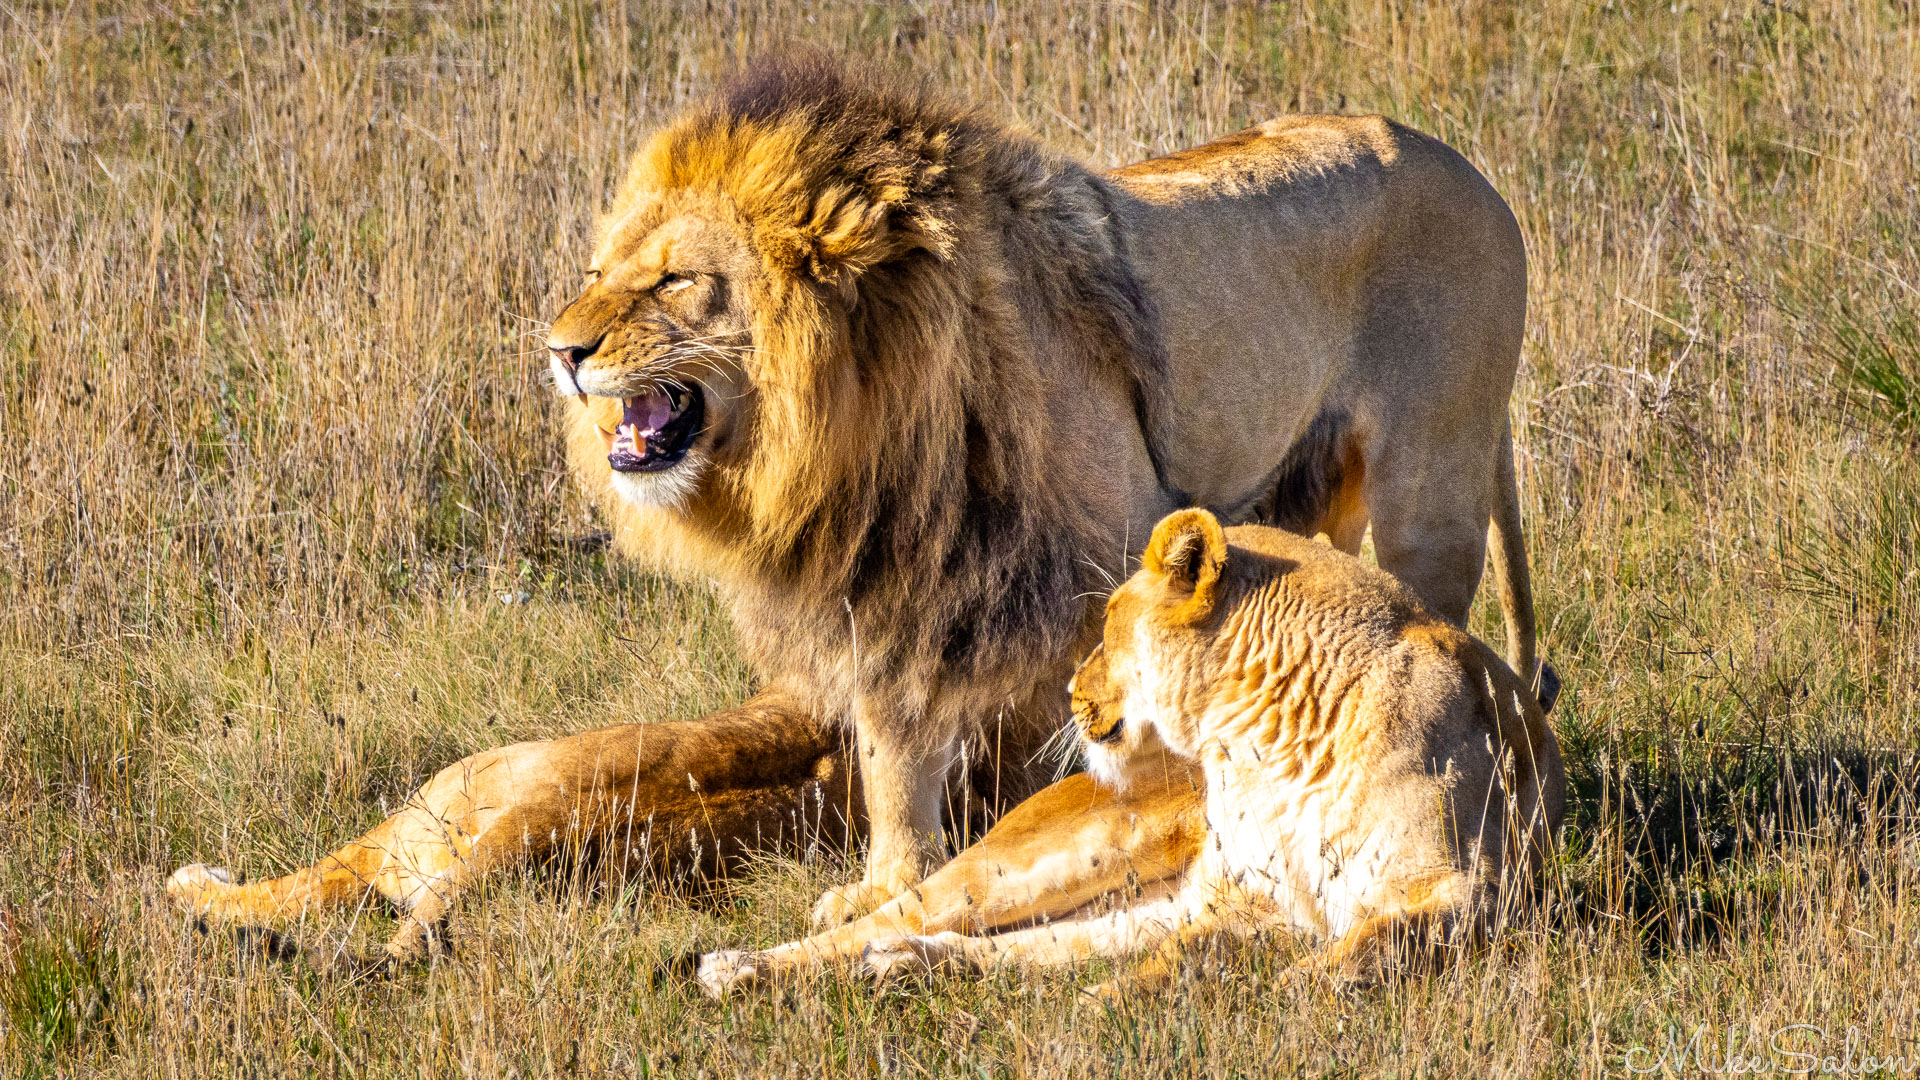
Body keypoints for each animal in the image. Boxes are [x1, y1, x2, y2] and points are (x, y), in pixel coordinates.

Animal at [168, 53, 1550, 946]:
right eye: (602, 270)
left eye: (673, 282)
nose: (559, 350)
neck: (849, 430)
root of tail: (1477, 171)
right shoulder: (876, 603)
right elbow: (894, 760)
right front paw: (883, 886)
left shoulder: (1089, 562)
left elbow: (1106, 712)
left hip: (1429, 486)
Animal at [694, 510, 1565, 999]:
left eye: (1109, 622)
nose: (1070, 687)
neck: (1261, 744)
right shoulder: (1242, 902)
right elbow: (1190, 956)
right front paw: (1113, 1003)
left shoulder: (1472, 889)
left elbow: (1377, 939)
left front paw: (1303, 984)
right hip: (1037, 861)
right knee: (893, 915)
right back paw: (738, 969)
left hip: (1125, 897)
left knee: (1009, 949)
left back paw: (902, 965)